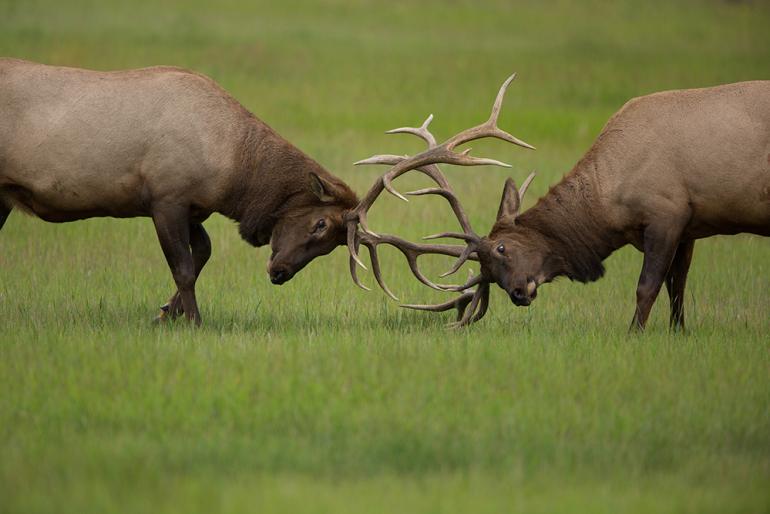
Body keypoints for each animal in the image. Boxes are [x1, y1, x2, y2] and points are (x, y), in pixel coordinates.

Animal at [0, 59, 360, 324]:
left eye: (331, 245)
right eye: (321, 224)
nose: (280, 273)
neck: (233, 167)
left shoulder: (193, 206)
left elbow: (203, 251)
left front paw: (165, 313)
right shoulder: (166, 199)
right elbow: (183, 268)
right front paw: (193, 321)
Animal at [350, 77, 768, 330]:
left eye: (501, 248)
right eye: (489, 275)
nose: (519, 294)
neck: (611, 198)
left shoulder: (667, 211)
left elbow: (648, 287)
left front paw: (634, 335)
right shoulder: (689, 225)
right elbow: (677, 288)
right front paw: (677, 334)